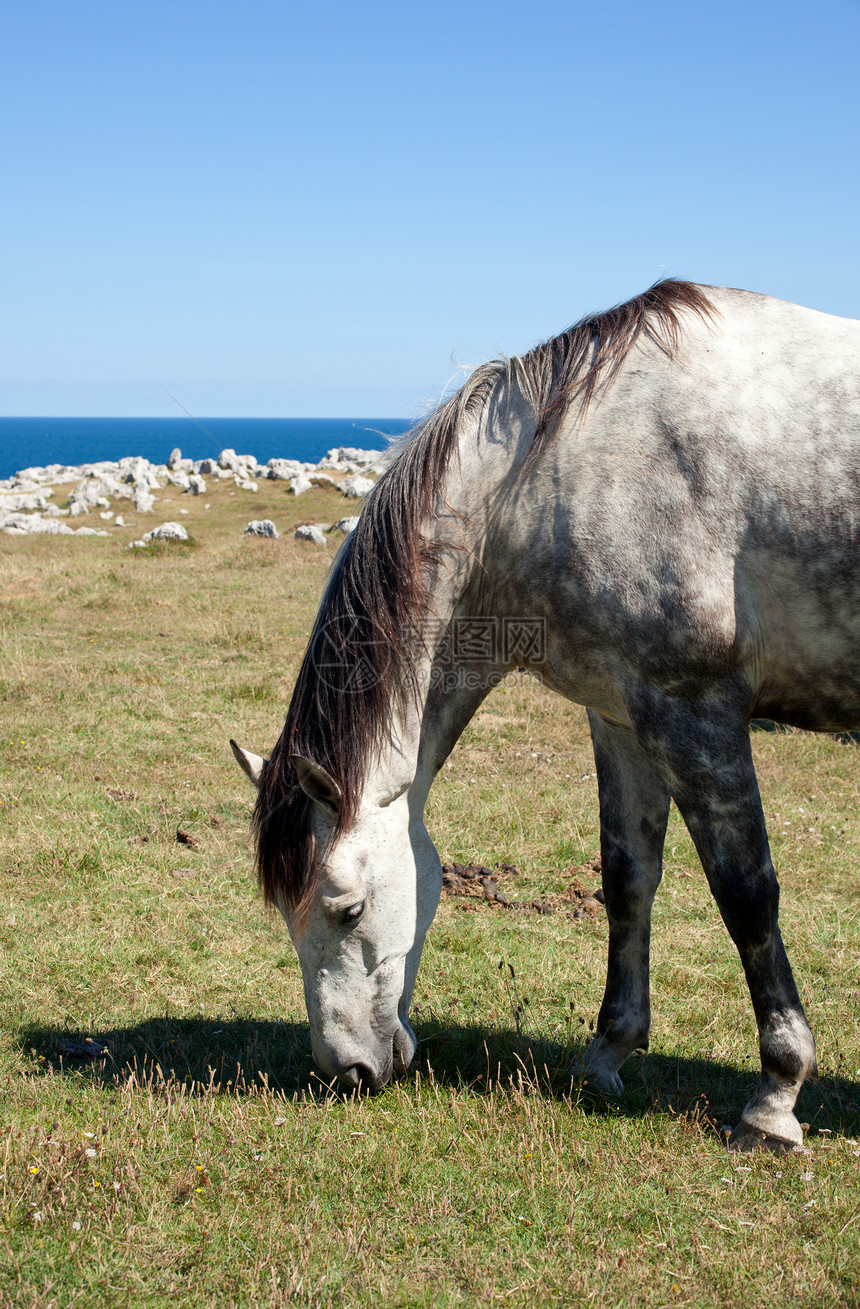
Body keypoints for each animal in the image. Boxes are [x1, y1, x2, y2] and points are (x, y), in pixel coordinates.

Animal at [231, 281, 858, 1151]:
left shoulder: (696, 714)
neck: (559, 471)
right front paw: (608, 1053)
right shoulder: (622, 717)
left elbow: (746, 895)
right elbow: (627, 879)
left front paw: (775, 1095)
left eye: (346, 907)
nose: (347, 1072)